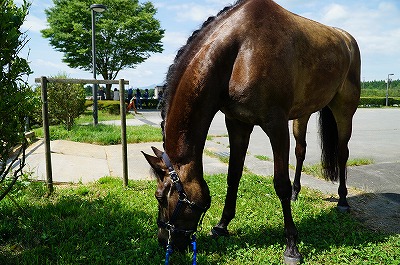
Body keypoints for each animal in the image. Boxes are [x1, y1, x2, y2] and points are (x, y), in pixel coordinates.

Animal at [142, 0, 360, 262]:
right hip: (303, 113)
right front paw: (222, 225)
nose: (163, 240)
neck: (242, 50)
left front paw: (292, 245)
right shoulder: (237, 124)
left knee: (342, 152)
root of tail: (346, 39)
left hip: (344, 110)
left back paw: (343, 200)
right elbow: (233, 175)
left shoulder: (276, 125)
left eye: (161, 197)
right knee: (301, 150)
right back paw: (297, 193)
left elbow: (280, 184)